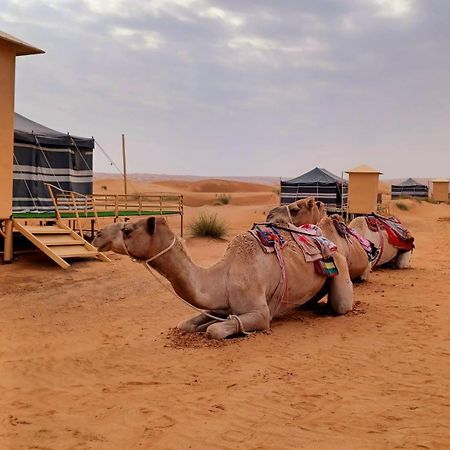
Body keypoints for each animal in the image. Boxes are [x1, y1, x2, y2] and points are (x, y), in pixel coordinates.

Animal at [93, 216, 354, 340]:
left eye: (127, 230)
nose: (97, 235)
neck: (224, 277)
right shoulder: (217, 305)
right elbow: (187, 324)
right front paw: (203, 325)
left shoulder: (260, 314)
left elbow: (215, 330)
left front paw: (215, 328)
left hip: (340, 266)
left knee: (341, 305)